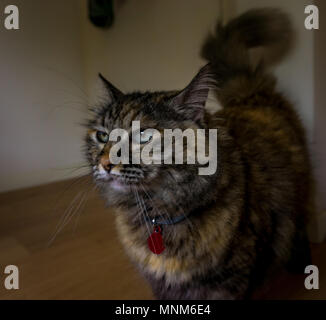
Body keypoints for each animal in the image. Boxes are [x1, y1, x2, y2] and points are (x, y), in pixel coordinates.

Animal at [84, 10, 314, 300]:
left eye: (144, 136)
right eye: (102, 136)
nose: (105, 163)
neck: (158, 217)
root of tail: (250, 94)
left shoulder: (231, 282)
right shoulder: (164, 286)